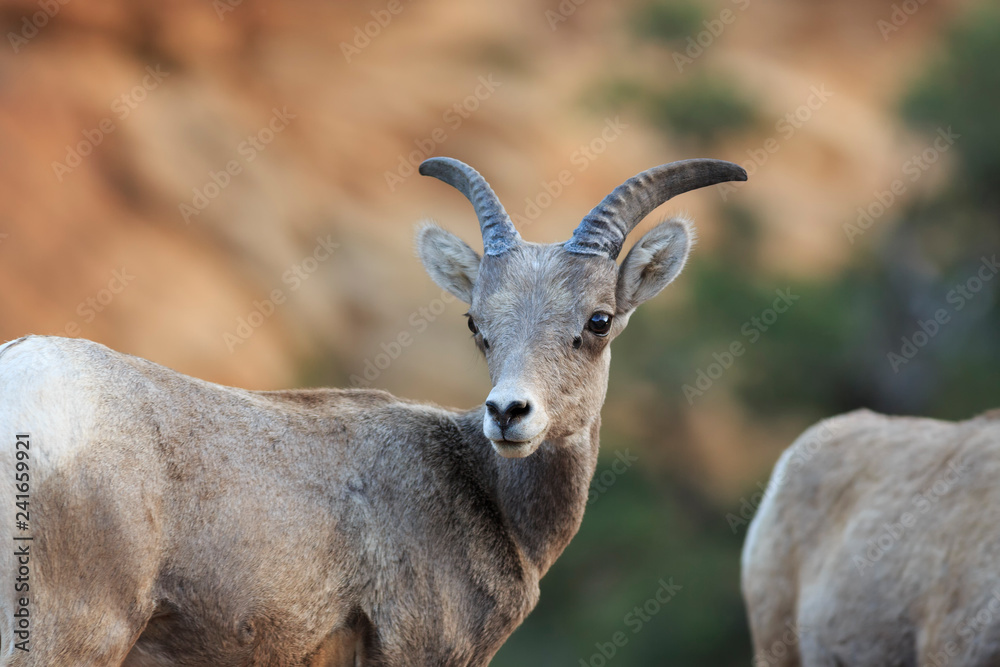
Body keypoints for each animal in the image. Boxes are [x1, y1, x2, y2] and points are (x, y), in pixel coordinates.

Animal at [1, 155, 744, 664]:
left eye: (598, 320)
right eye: (476, 323)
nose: (509, 413)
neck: (488, 494)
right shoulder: (416, 648)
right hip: (72, 634)